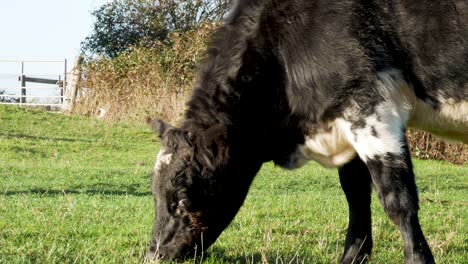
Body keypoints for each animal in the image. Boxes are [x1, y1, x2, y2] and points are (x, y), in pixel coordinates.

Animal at [147, 1, 468, 262]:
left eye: (184, 198)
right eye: (154, 193)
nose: (155, 254)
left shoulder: (371, 107)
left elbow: (397, 200)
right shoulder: (342, 123)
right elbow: (356, 197)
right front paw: (350, 258)